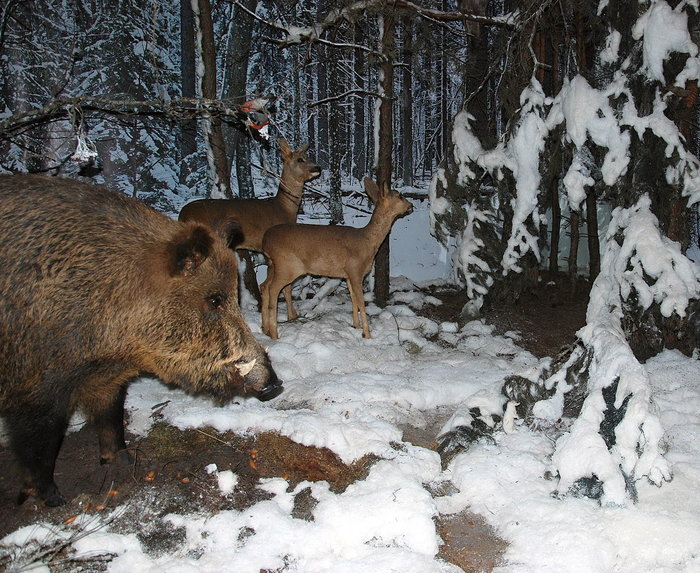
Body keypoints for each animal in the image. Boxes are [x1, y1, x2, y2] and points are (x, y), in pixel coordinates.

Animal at [260, 179, 412, 338]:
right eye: (400, 196)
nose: (411, 205)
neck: (368, 242)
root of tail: (265, 241)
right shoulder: (356, 271)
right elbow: (361, 302)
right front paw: (367, 334)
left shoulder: (348, 275)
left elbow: (353, 299)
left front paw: (356, 326)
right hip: (287, 266)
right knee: (273, 289)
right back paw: (274, 333)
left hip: (273, 265)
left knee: (264, 286)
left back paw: (265, 329)